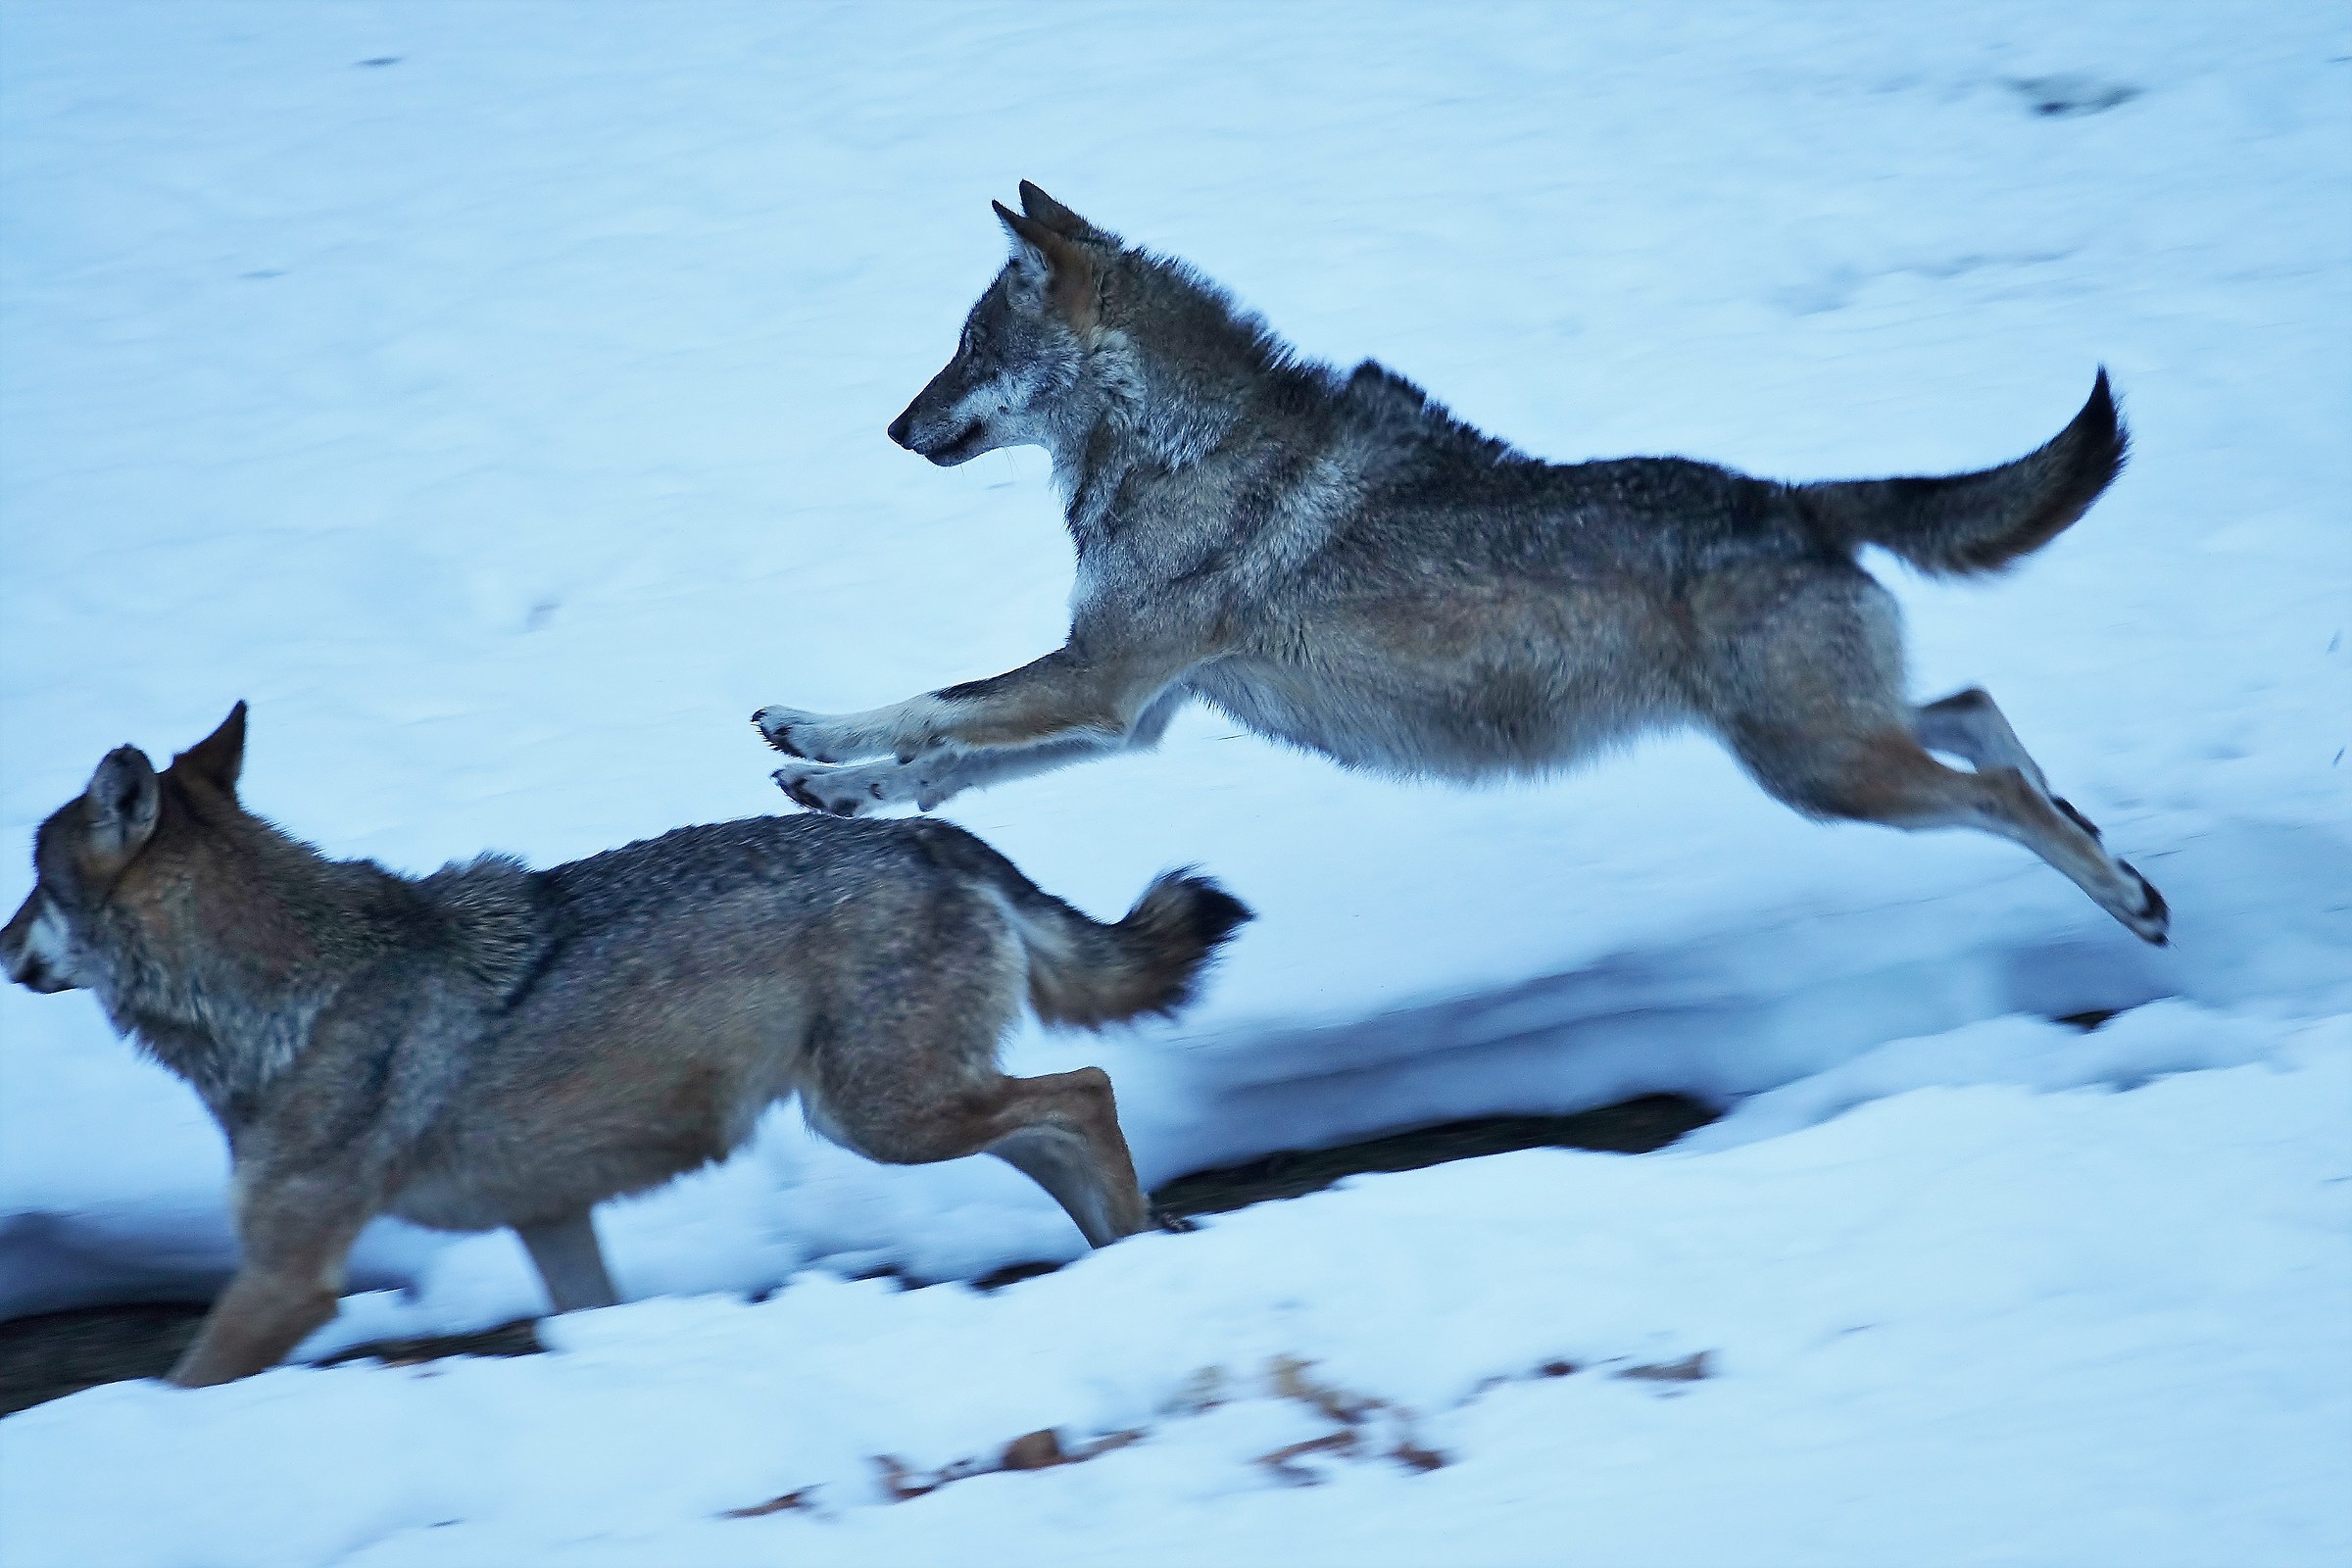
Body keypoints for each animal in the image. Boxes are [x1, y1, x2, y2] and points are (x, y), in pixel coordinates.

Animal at [1, 703, 1249, 1386]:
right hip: (900, 1113)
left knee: (1087, 1087)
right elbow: (588, 1317)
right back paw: (1132, 1248)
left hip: (881, 1117)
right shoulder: (551, 1219)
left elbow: (179, 1388)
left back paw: (1135, 1243)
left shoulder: (287, 1279)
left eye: (32, 884)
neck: (289, 993)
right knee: (1067, 1117)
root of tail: (932, 836)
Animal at [756, 182, 2165, 945]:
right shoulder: (1132, 716)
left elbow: (934, 705)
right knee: (1976, 710)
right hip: (1828, 749)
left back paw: (2130, 899)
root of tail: (1796, 502)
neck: (1178, 446)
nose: (895, 429)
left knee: (2002, 790)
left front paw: (809, 736)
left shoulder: (1099, 684)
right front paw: (830, 786)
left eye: (967, 351)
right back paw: (2119, 854)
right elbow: (945, 766)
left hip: (1821, 774)